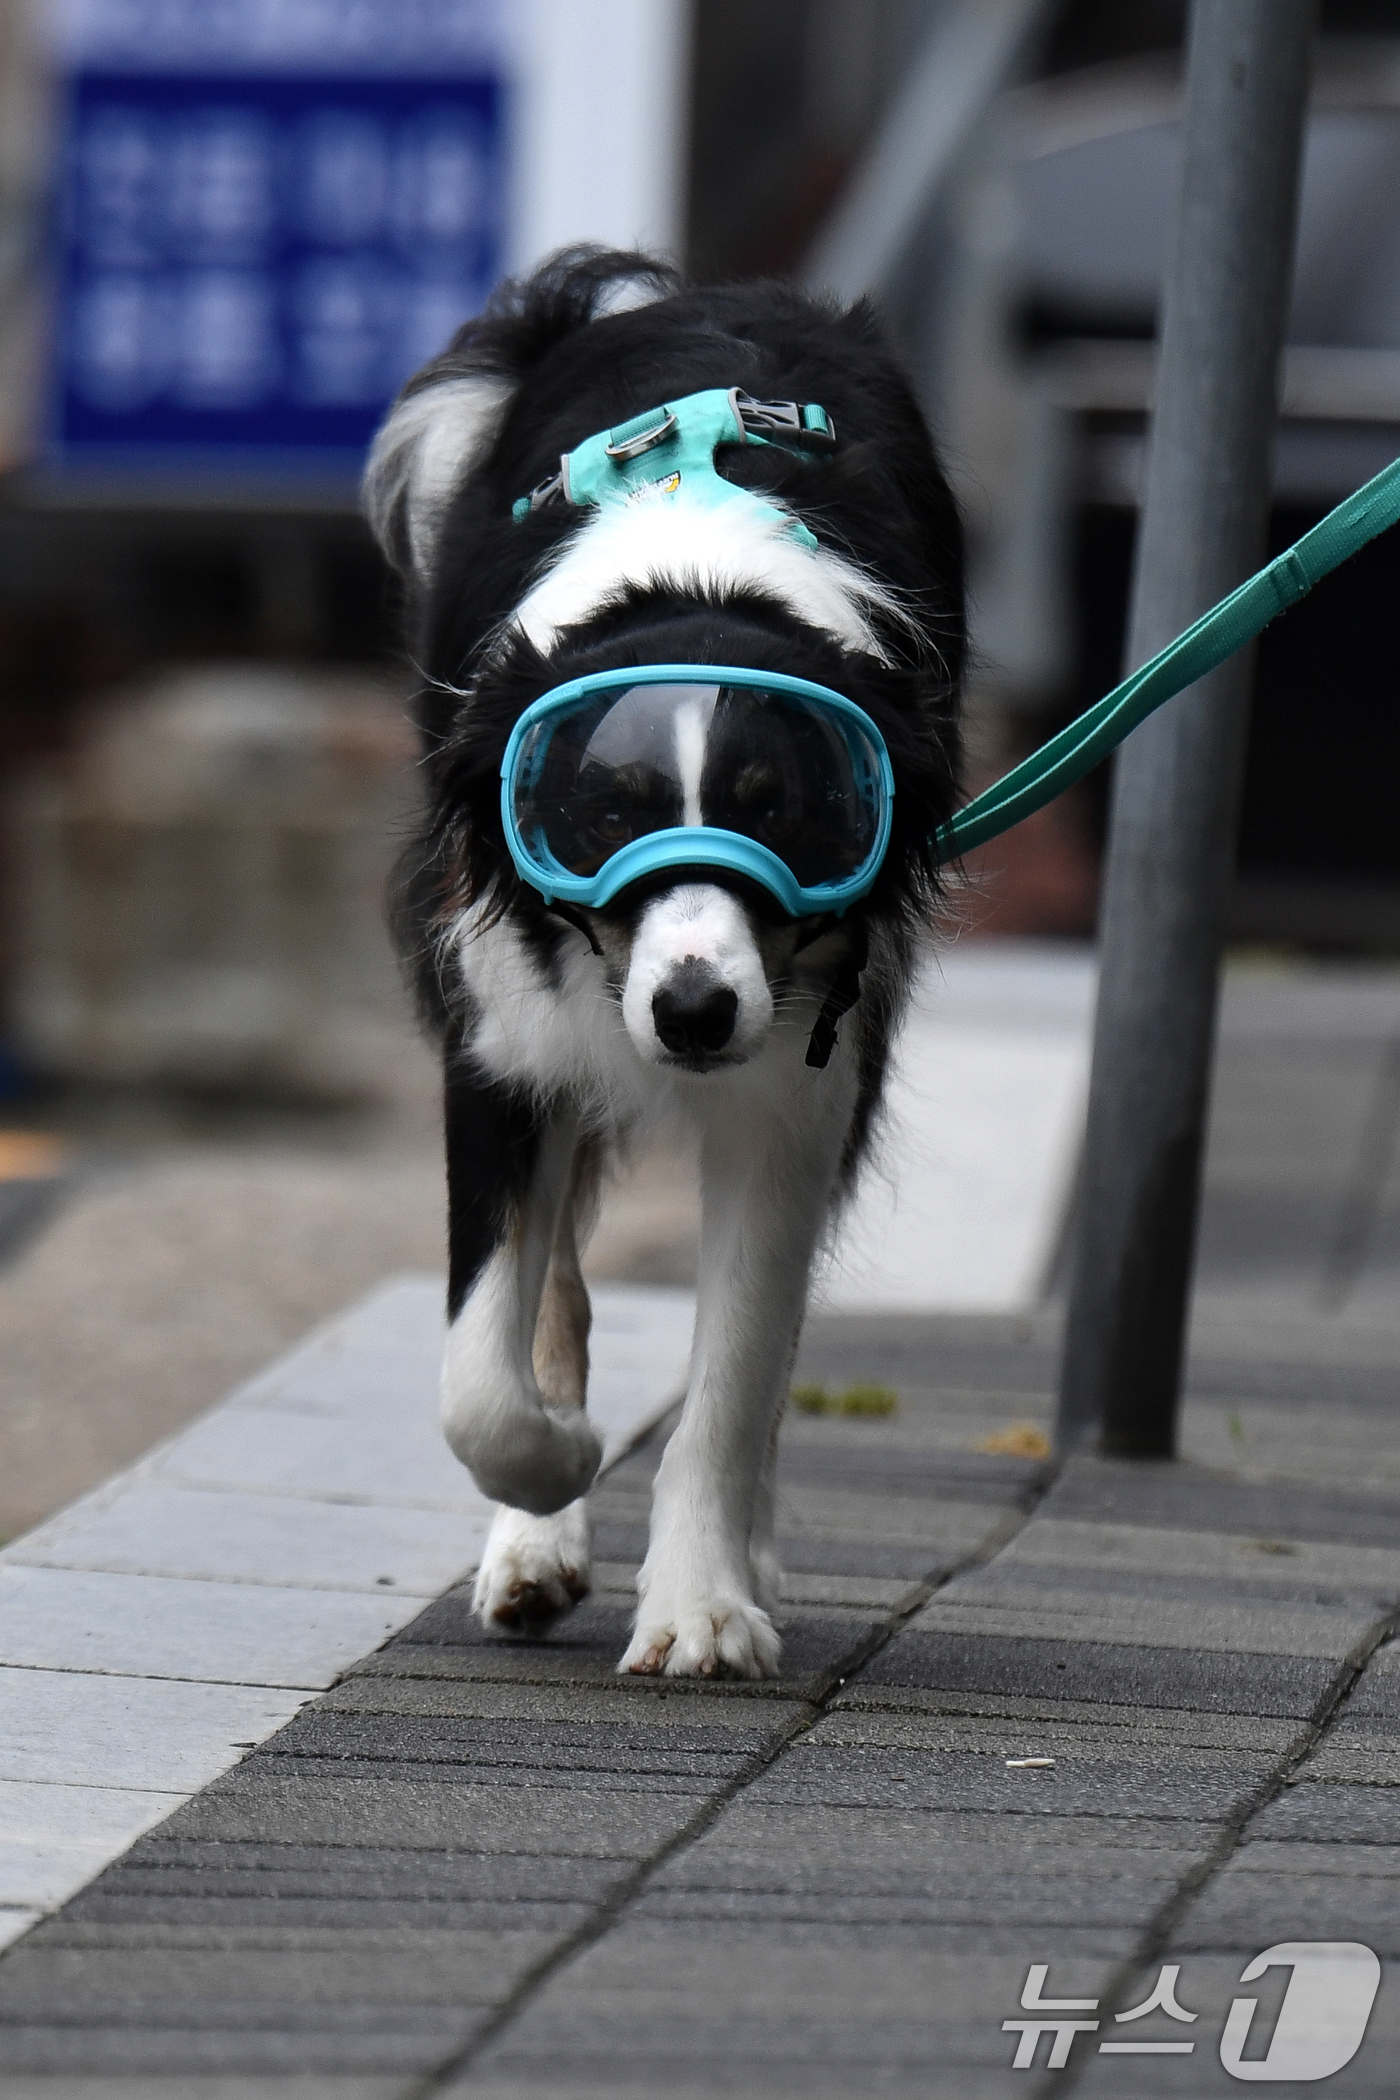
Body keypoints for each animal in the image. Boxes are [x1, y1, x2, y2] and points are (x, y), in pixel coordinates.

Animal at [367, 249, 969, 1688]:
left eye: (785, 811)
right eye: (601, 811)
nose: (693, 1013)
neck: (696, 583)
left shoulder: (798, 1085)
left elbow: (739, 1373)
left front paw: (701, 1606)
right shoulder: (501, 1042)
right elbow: (481, 1373)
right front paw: (553, 1473)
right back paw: (532, 1545)